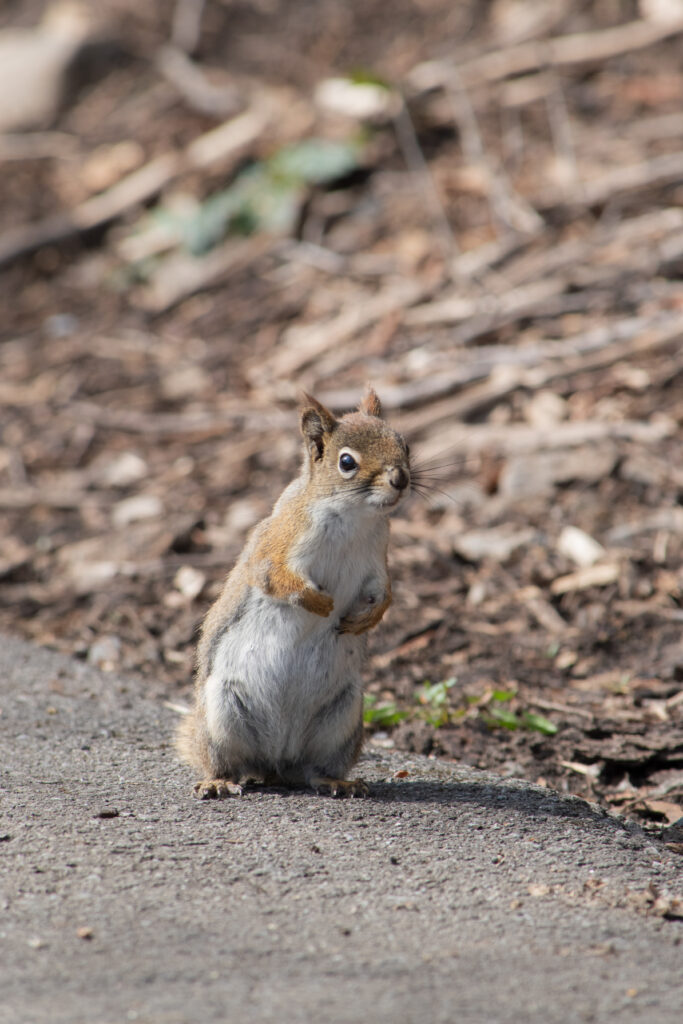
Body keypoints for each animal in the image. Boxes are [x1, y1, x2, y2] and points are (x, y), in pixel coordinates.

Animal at [177, 386, 410, 798]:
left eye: (405, 444)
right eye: (346, 462)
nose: (401, 478)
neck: (354, 517)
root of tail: (277, 762)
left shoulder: (377, 563)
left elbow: (384, 594)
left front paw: (365, 619)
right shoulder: (278, 545)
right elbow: (276, 580)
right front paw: (320, 603)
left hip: (342, 718)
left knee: (313, 770)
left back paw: (337, 781)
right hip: (223, 714)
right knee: (228, 764)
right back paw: (218, 781)